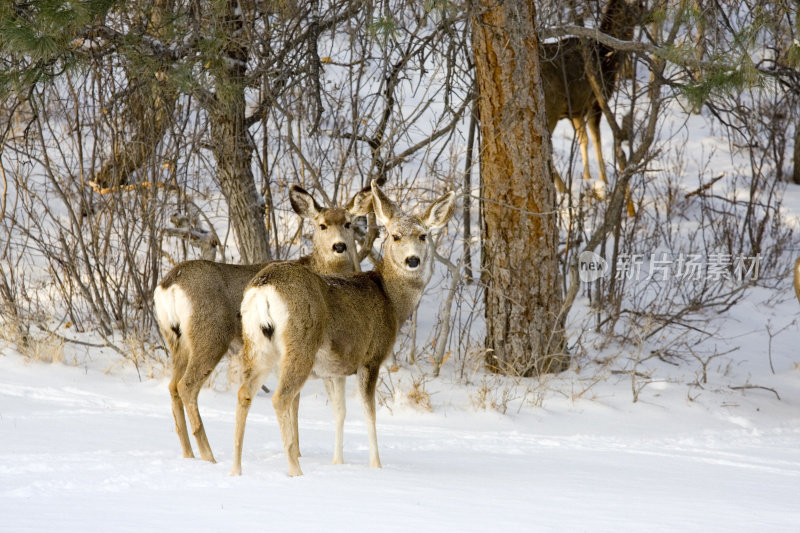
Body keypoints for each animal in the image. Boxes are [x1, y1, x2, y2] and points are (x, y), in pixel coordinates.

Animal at [153, 184, 372, 462]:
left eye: (347, 223)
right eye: (322, 225)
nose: (339, 246)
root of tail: (168, 284)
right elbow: (293, 401)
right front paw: (296, 452)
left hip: (175, 340)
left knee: (172, 386)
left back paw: (188, 454)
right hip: (210, 335)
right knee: (187, 386)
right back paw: (209, 455)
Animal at [233, 181, 456, 476]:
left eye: (422, 236)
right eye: (395, 236)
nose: (412, 261)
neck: (391, 300)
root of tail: (264, 287)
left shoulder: (334, 368)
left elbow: (340, 413)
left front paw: (337, 462)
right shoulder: (370, 358)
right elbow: (369, 413)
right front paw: (376, 465)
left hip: (256, 343)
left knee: (244, 393)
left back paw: (235, 469)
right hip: (300, 344)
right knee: (281, 398)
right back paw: (295, 470)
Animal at [536, 0, 644, 207]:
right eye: (639, 5)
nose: (647, 17)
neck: (606, 57)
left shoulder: (577, 110)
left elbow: (583, 140)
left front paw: (586, 178)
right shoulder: (596, 101)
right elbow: (596, 139)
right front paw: (604, 182)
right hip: (551, 106)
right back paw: (563, 189)